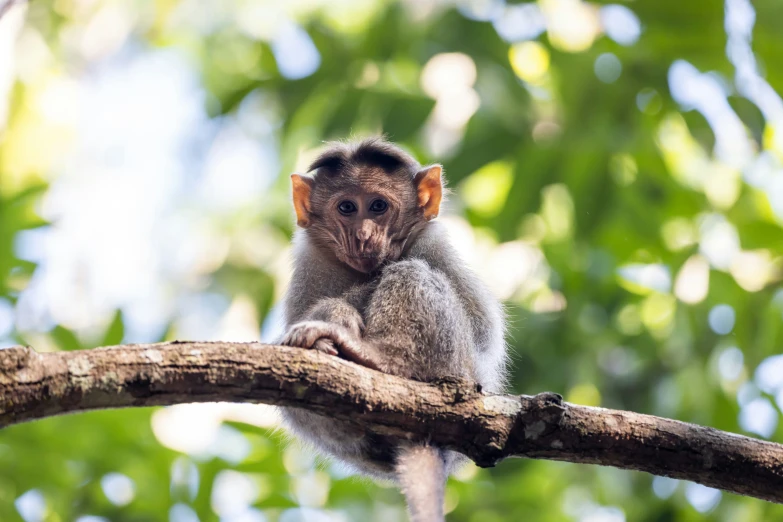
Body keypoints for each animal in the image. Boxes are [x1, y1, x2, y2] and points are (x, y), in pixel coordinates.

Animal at [278, 136, 512, 516]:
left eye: (378, 206)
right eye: (347, 207)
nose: (363, 235)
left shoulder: (433, 244)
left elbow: (483, 328)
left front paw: (337, 310)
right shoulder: (310, 263)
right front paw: (333, 315)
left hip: (457, 367)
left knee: (410, 273)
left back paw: (377, 357)